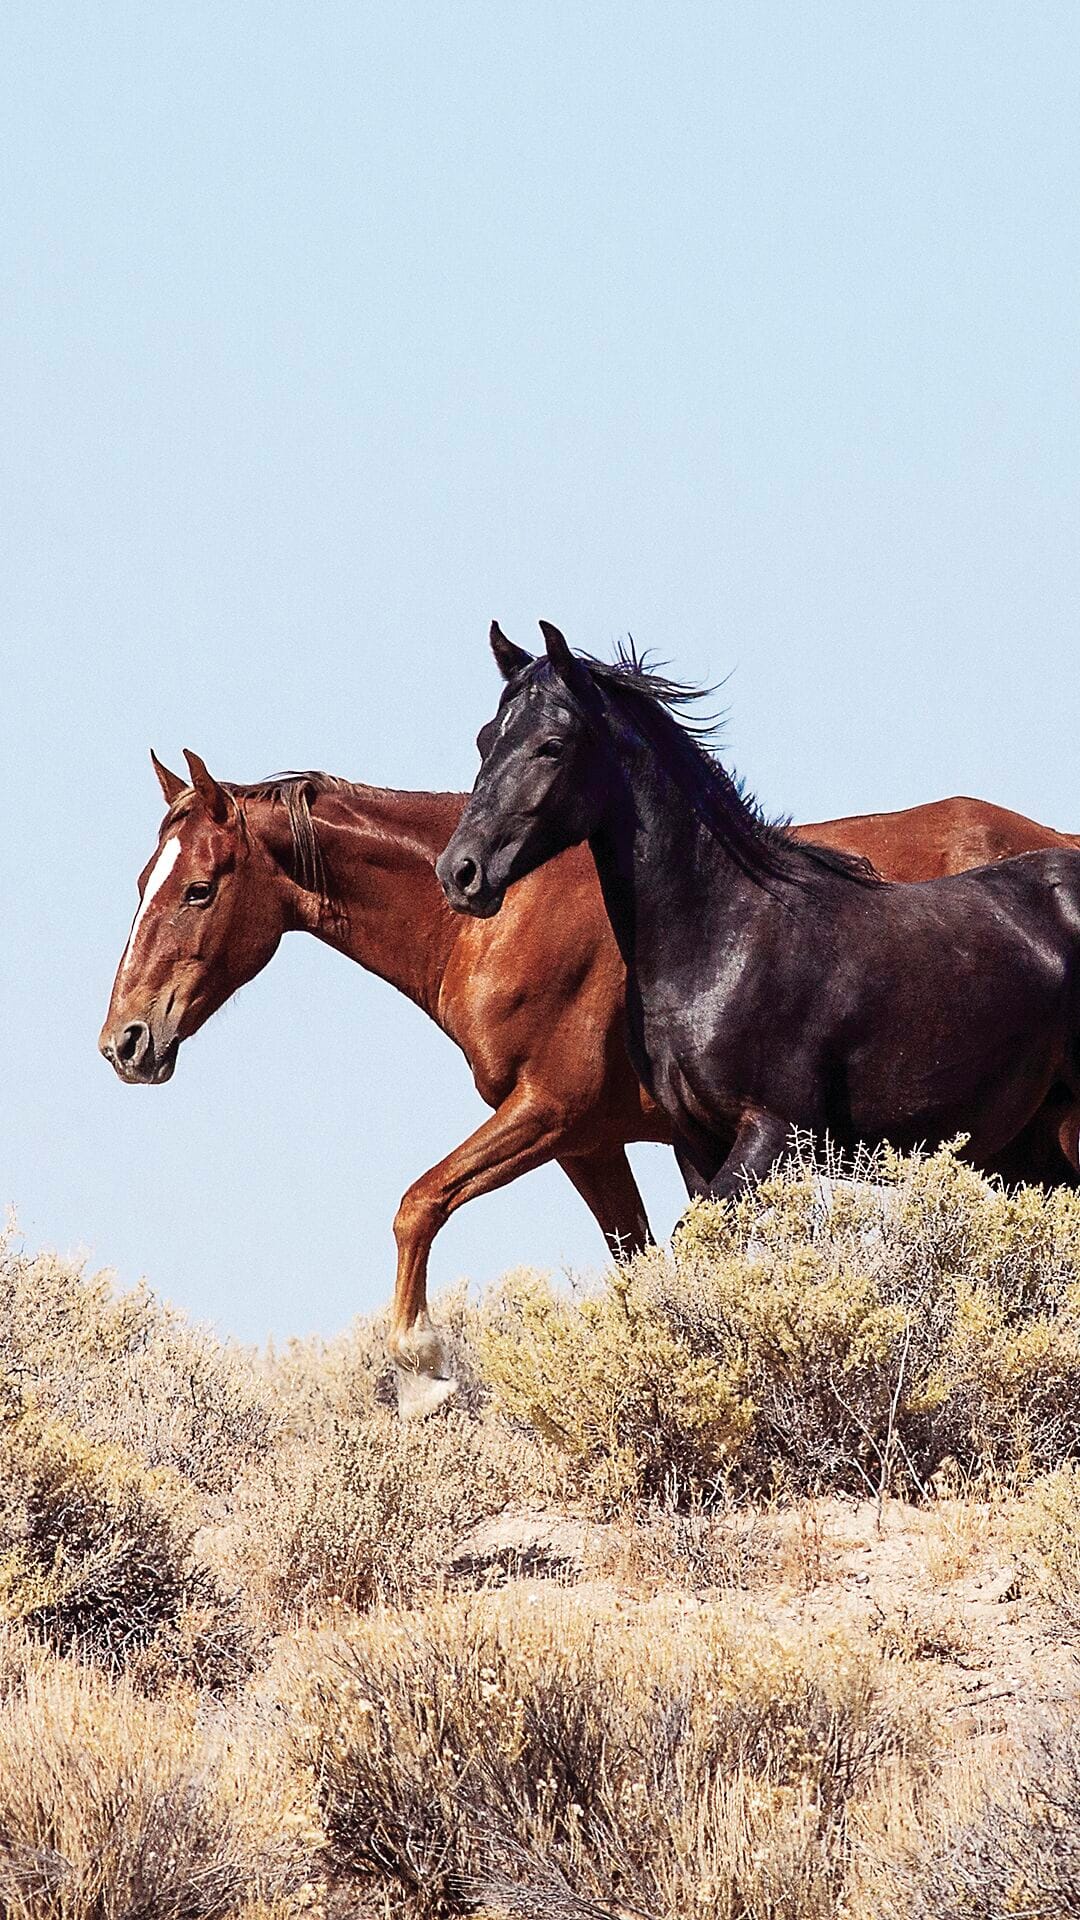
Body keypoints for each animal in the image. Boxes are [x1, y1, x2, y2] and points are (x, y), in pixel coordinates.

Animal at [100, 743, 1080, 1416]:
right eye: (142, 880)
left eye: (197, 887)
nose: (126, 1041)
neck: (503, 915)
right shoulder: (592, 1143)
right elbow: (635, 1264)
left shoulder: (550, 1112)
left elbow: (419, 1203)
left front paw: (421, 1370)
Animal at [437, 622, 1080, 1210]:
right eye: (485, 739)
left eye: (552, 743)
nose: (459, 872)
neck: (724, 942)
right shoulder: (695, 1144)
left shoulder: (771, 1133)